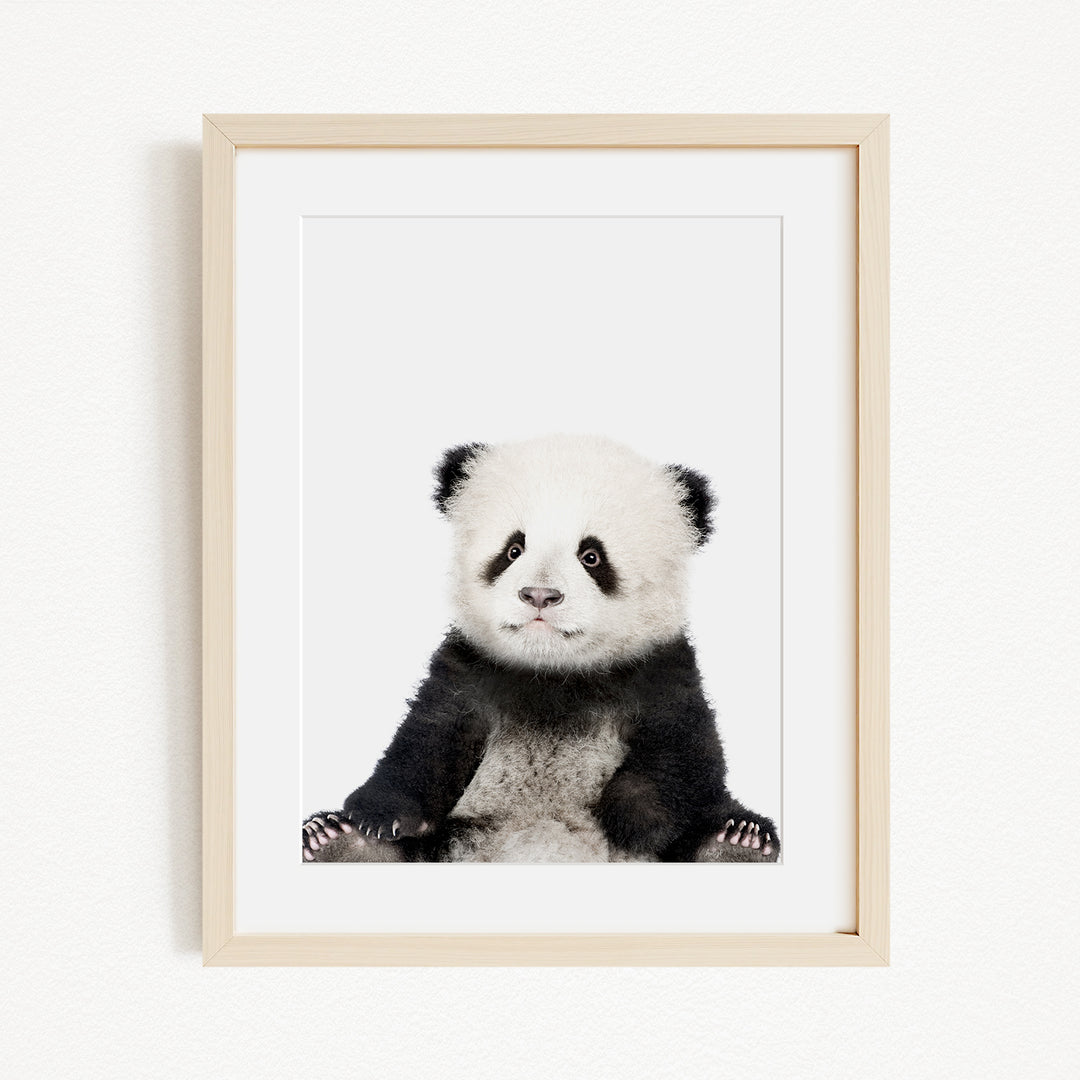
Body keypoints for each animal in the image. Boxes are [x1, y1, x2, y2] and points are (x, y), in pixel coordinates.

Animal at [302, 434, 779, 864]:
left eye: (591, 556)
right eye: (514, 549)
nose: (539, 595)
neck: (551, 672)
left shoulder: (659, 670)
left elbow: (685, 751)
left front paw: (638, 820)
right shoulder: (469, 672)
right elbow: (427, 738)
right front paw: (378, 816)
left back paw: (736, 843)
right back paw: (340, 842)